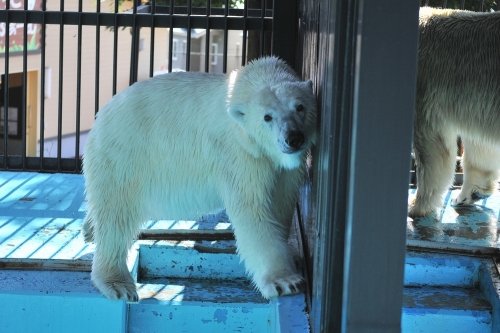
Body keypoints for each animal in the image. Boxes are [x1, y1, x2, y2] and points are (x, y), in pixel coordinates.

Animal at [82, 56, 316, 300]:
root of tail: (102, 114)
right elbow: (254, 211)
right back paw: (117, 282)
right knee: (116, 216)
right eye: (267, 117)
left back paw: (89, 229)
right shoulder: (242, 155)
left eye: (300, 107)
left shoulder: (285, 169)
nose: (293, 138)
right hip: (125, 154)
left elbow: (281, 205)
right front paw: (285, 281)